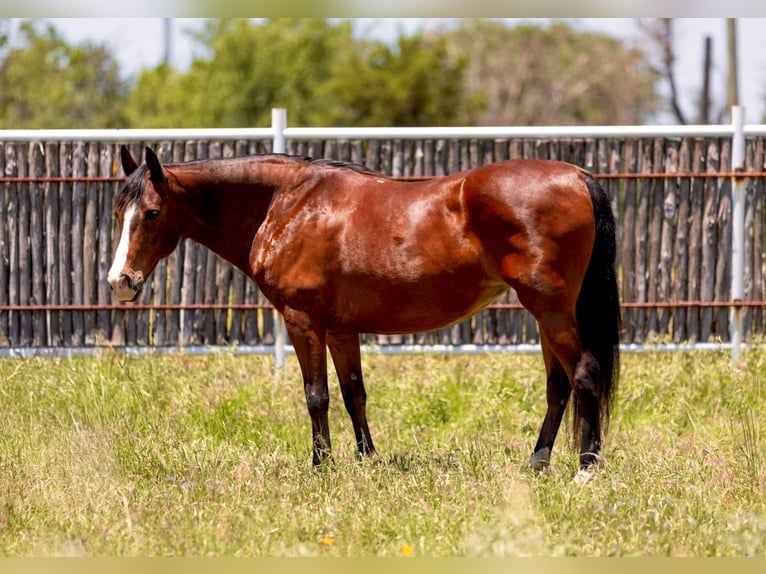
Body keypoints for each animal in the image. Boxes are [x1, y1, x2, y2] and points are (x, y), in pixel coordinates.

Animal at [109, 145, 620, 473]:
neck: (287, 205)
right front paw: (366, 459)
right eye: (118, 214)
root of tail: (578, 176)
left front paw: (321, 465)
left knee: (585, 373)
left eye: (152, 213)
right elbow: (354, 392)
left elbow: (316, 394)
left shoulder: (303, 321)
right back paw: (538, 462)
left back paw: (586, 468)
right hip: (547, 314)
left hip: (551, 309)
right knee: (558, 387)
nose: (121, 282)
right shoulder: (340, 330)